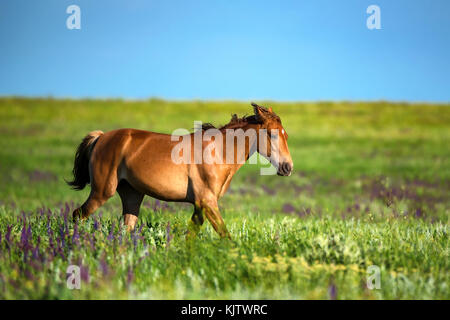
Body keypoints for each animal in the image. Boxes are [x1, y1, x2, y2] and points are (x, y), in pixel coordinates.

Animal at [66, 102, 292, 238]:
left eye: (286, 135)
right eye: (272, 134)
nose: (287, 167)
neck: (217, 152)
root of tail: (101, 137)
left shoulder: (199, 205)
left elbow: (191, 236)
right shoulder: (207, 202)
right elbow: (224, 235)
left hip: (132, 195)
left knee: (126, 230)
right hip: (102, 192)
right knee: (77, 214)